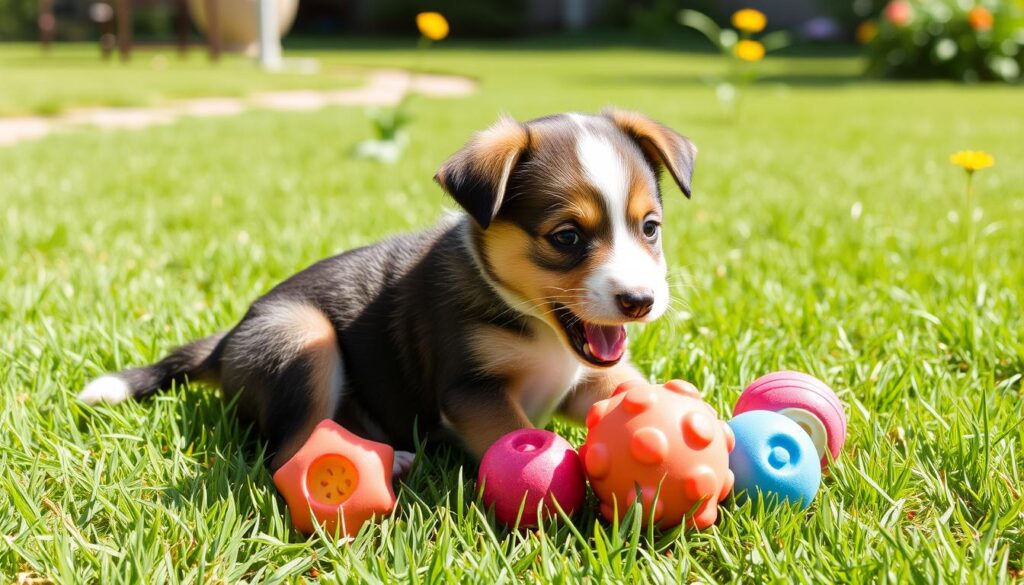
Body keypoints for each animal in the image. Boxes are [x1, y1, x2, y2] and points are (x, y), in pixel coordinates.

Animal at [79, 111, 696, 475]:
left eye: (650, 228)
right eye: (566, 237)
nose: (640, 302)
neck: (537, 328)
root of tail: (226, 341)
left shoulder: (588, 377)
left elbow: (628, 386)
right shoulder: (471, 391)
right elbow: (518, 434)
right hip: (303, 335)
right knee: (285, 456)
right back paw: (388, 462)